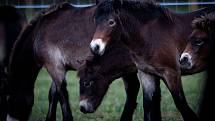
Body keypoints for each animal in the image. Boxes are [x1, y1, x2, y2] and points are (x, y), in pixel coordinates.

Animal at [6, 2, 139, 121]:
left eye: (8, 100)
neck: (38, 34)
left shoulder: (54, 67)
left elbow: (62, 95)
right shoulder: (59, 68)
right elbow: (53, 94)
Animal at [87, 0, 215, 121]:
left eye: (111, 22)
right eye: (95, 20)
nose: (95, 47)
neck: (150, 36)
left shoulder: (172, 72)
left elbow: (181, 103)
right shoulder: (146, 73)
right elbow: (148, 104)